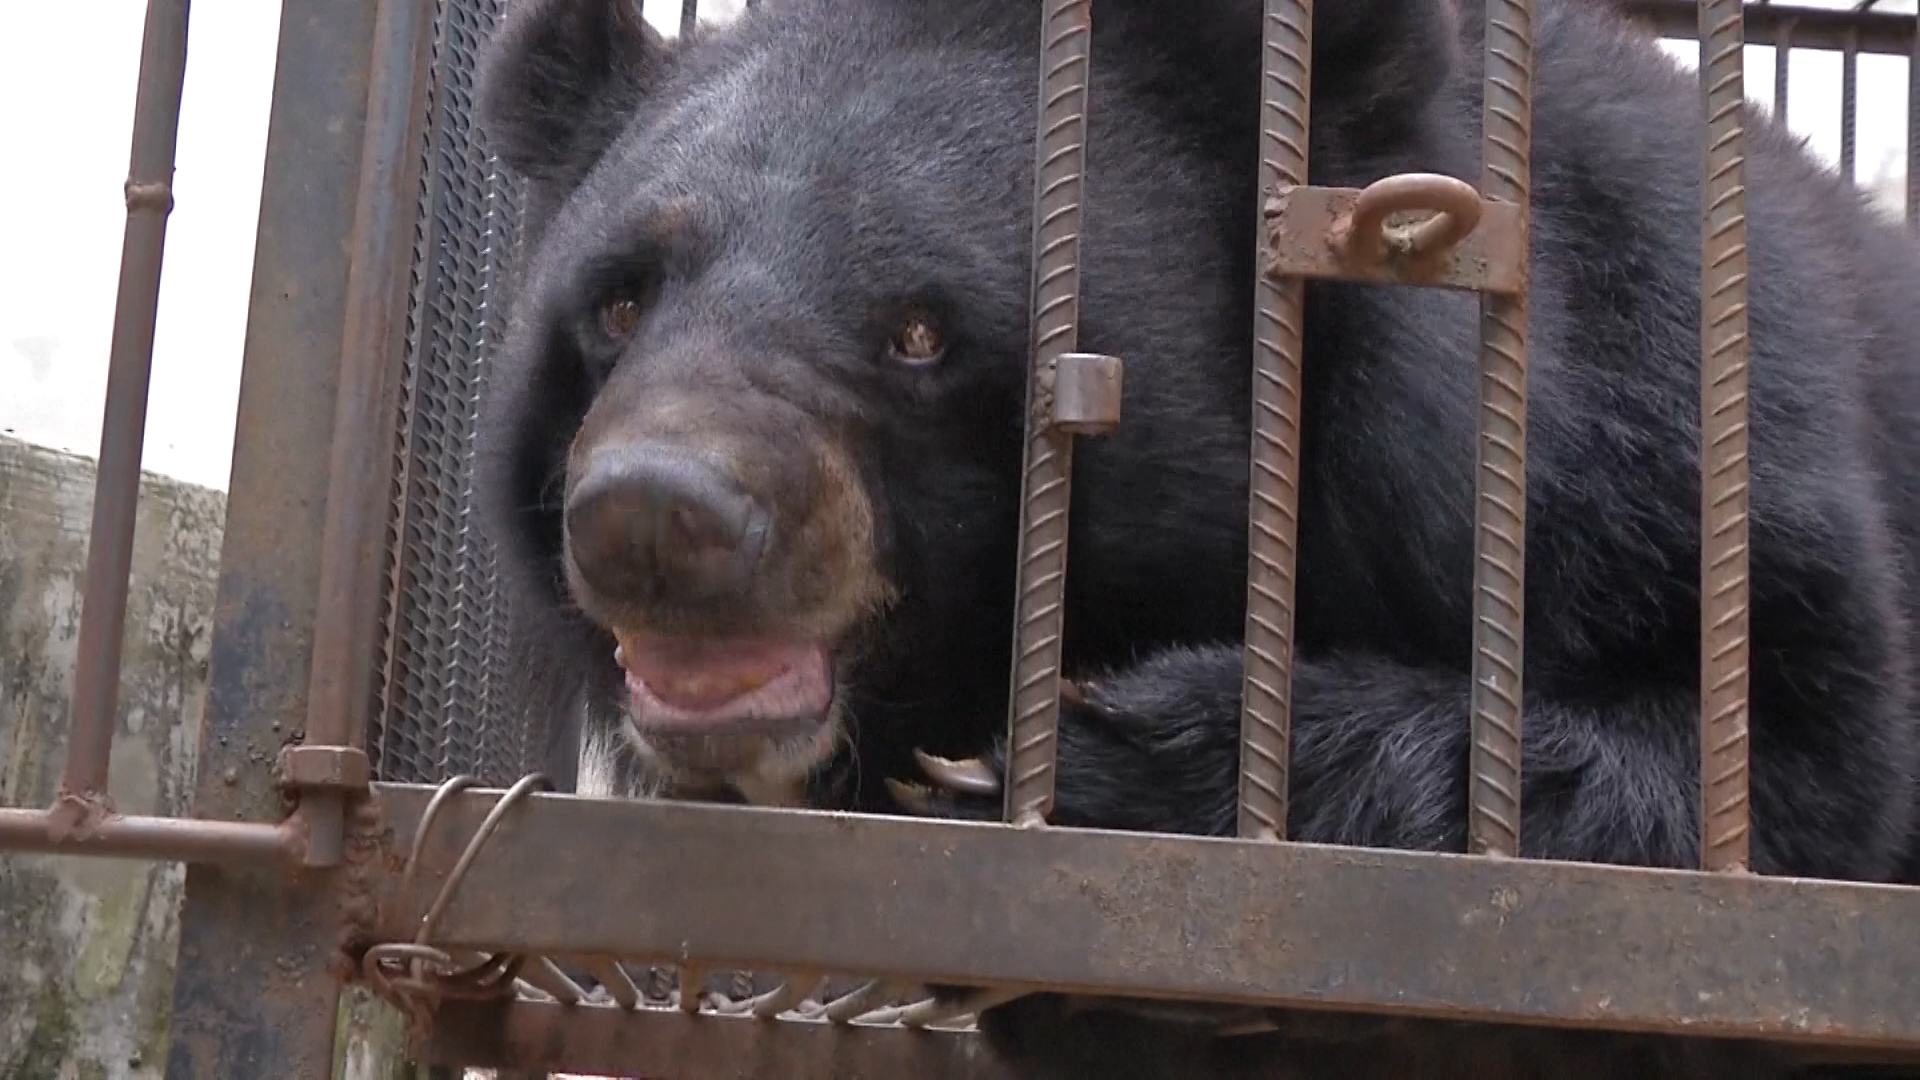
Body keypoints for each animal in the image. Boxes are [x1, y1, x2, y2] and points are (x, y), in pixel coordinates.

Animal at [468, 0, 1920, 1068]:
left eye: (921, 331)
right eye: (617, 303)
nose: (655, 517)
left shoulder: (1657, 417)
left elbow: (1779, 765)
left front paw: (1105, 763)